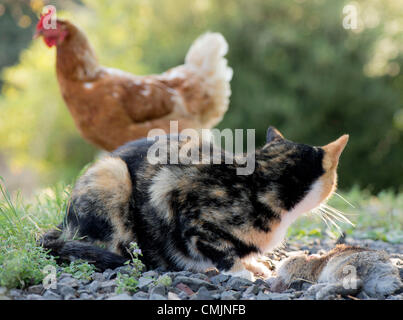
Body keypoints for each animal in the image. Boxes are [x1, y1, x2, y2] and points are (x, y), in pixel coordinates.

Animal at [41, 126, 350, 278]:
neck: (257, 182)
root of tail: (63, 225)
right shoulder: (185, 209)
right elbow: (220, 250)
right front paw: (241, 272)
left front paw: (254, 265)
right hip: (111, 175)